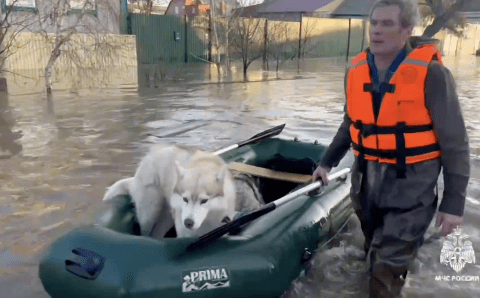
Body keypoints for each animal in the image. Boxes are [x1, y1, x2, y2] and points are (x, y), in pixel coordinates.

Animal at [103, 143, 264, 239]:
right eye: (185, 199)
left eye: (204, 200)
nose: (188, 222)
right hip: (150, 213)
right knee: (146, 231)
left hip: (166, 218)